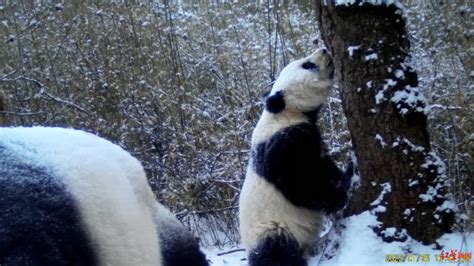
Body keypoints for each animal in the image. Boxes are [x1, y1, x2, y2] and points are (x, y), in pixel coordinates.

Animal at [239, 48, 350, 264]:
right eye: (307, 65)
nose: (324, 49)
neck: (285, 113)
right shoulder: (282, 145)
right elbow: (302, 183)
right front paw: (341, 193)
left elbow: (324, 164)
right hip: (271, 227)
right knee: (277, 249)